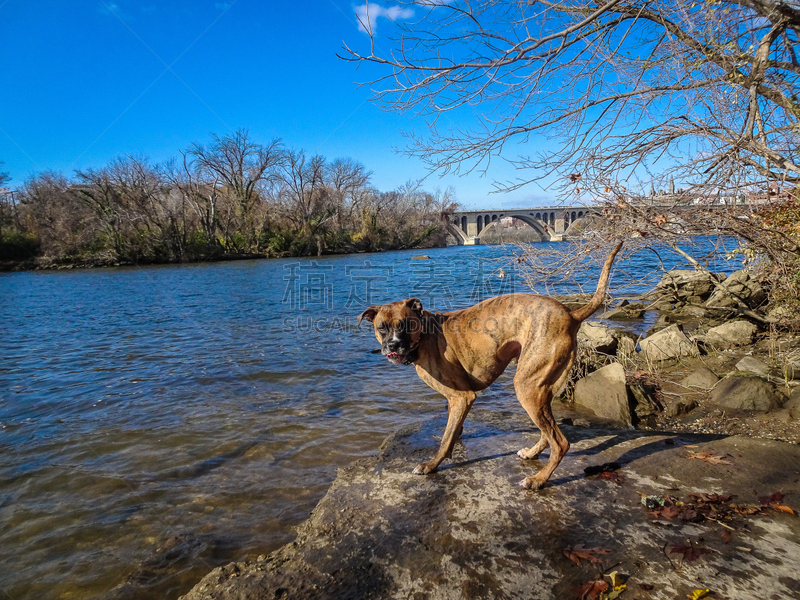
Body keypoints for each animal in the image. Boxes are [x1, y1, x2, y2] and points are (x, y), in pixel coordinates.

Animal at [358, 241, 624, 490]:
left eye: (405, 325)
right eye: (382, 327)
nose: (392, 345)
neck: (425, 335)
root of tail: (571, 314)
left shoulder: (462, 397)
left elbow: (445, 438)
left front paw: (432, 465)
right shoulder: (455, 401)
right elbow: (454, 429)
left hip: (527, 387)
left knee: (560, 443)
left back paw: (538, 480)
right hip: (541, 389)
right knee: (549, 432)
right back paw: (532, 453)